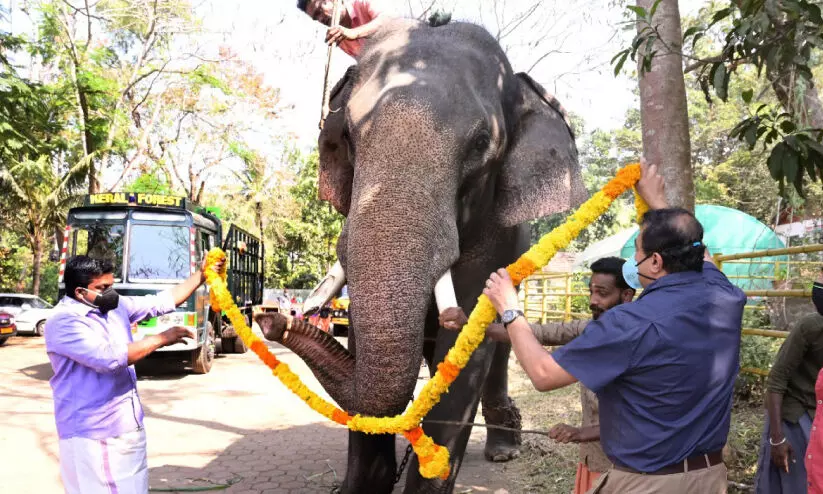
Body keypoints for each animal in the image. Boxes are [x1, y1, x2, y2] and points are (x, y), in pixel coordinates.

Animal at [258, 18, 584, 494]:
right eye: (347, 136)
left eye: (481, 143)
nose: (273, 319)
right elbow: (364, 336)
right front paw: (362, 487)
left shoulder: (494, 238)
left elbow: (466, 343)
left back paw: (504, 449)